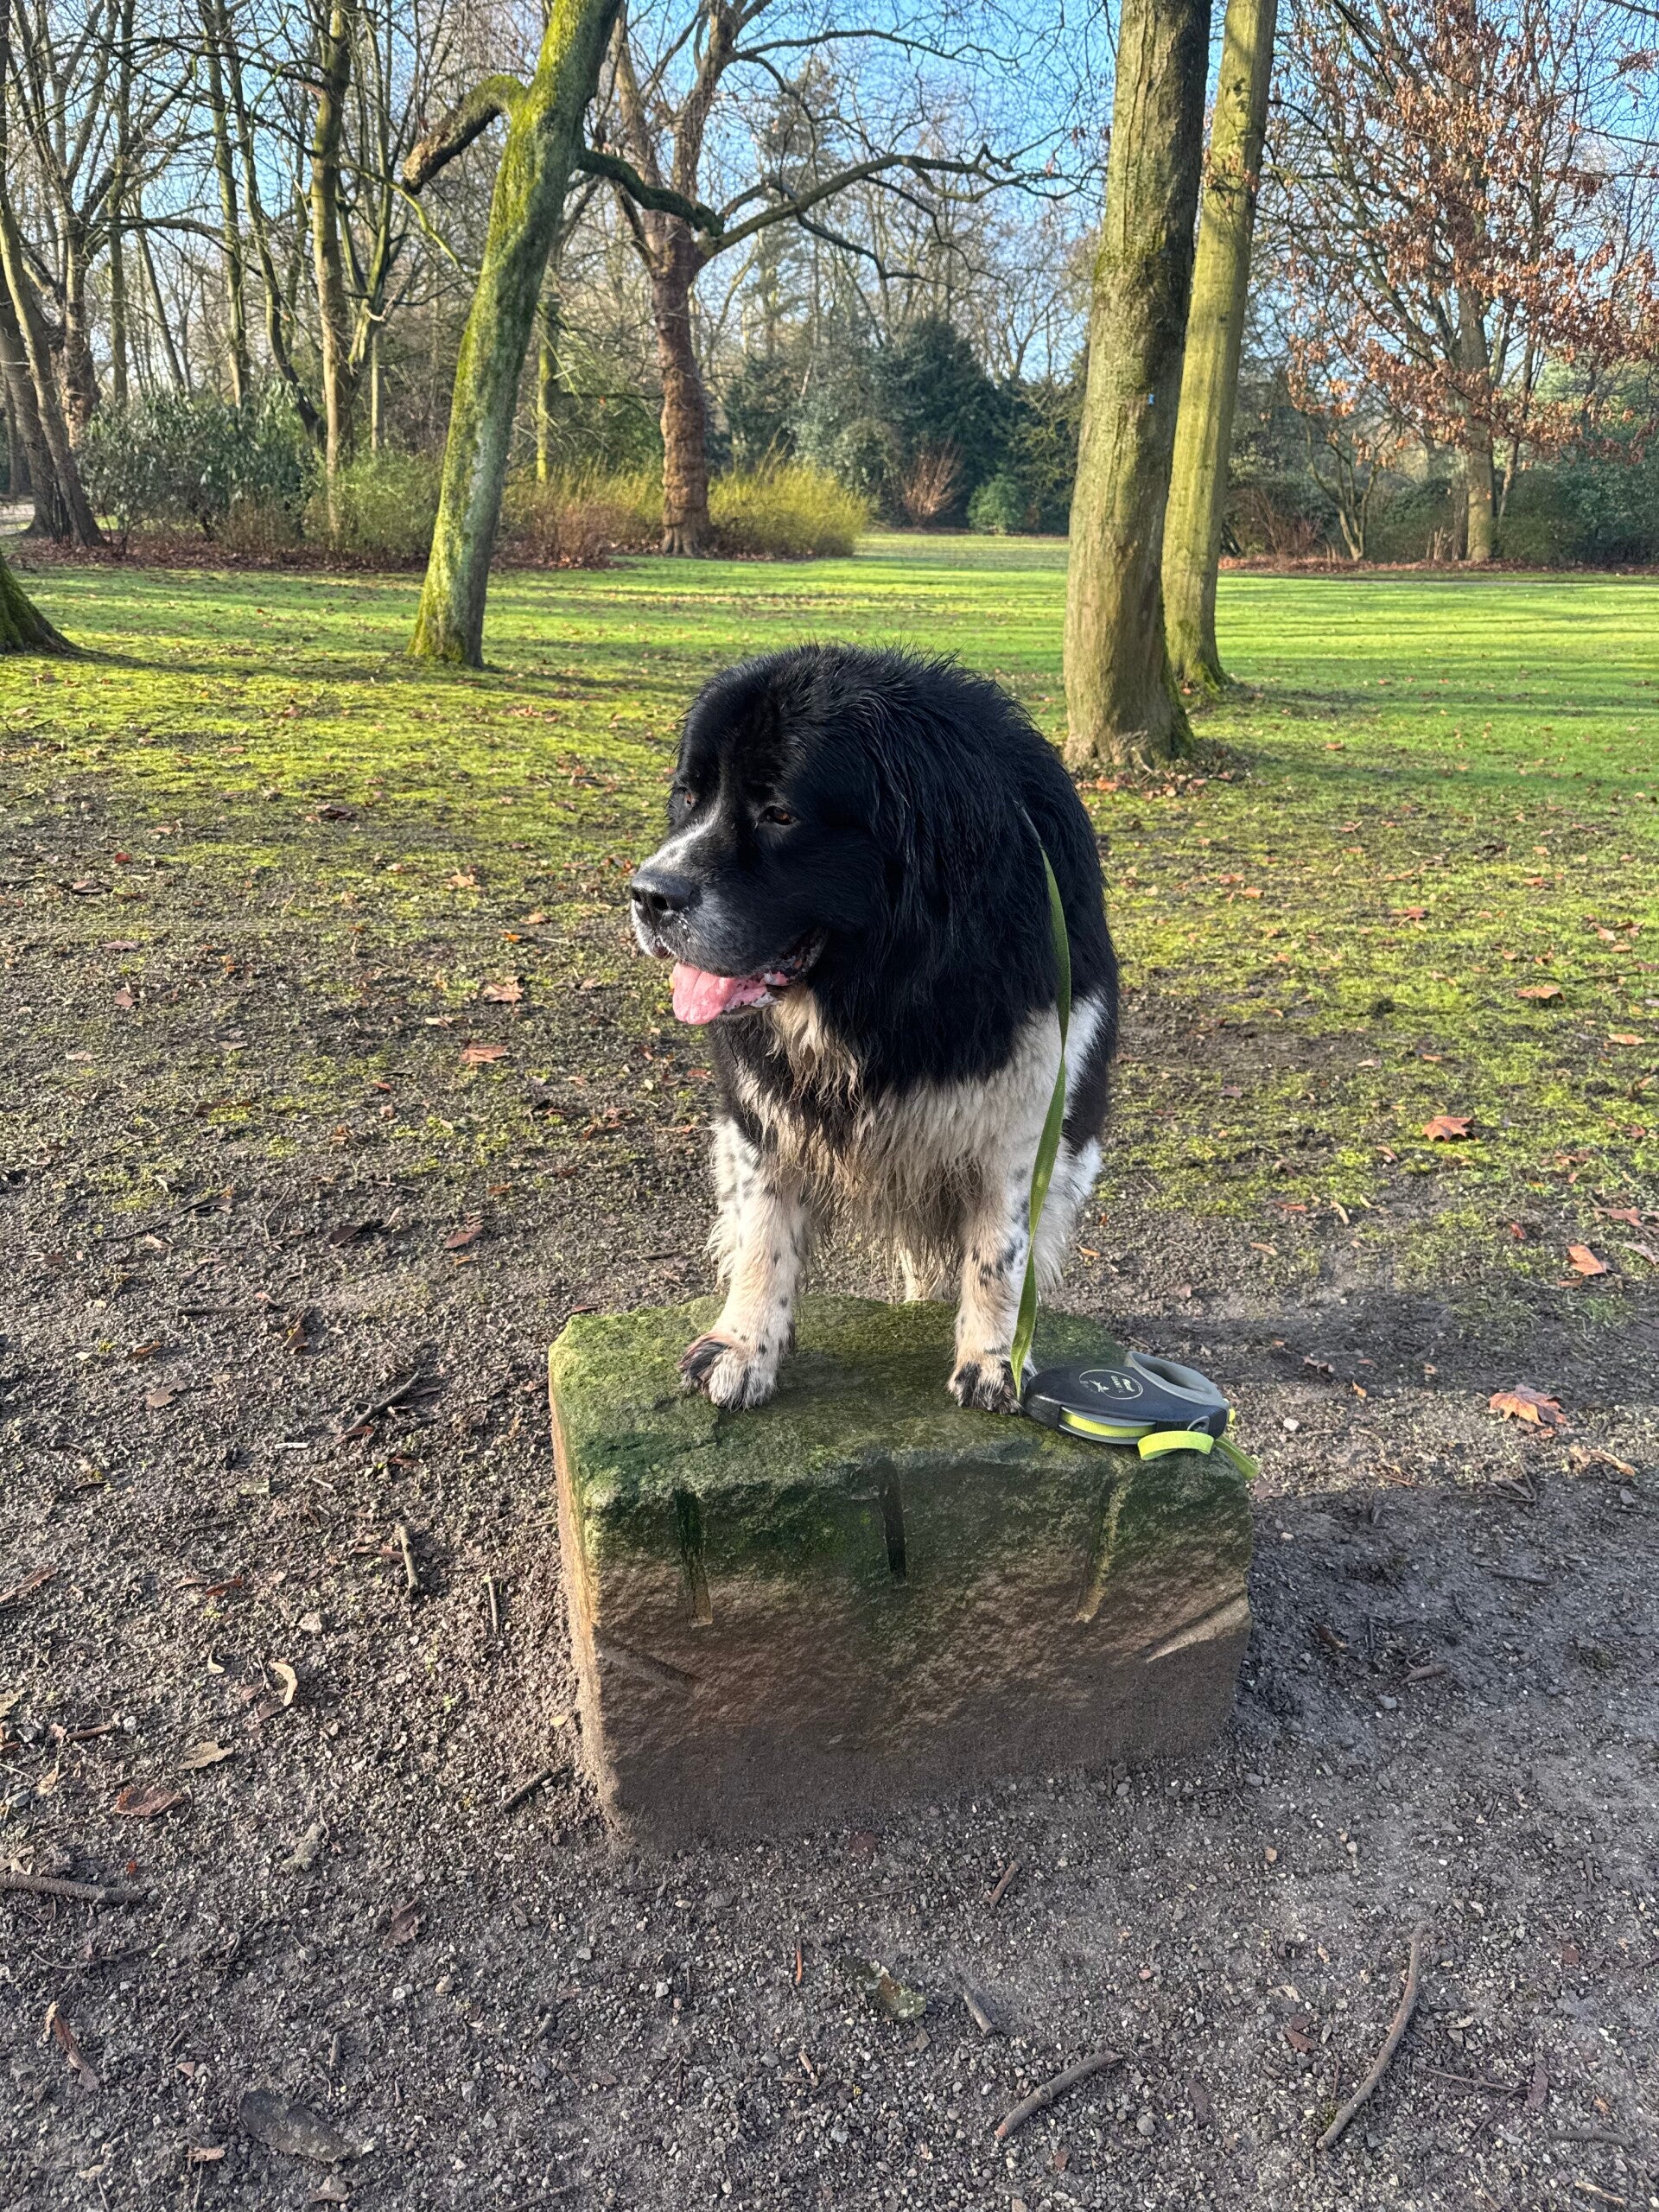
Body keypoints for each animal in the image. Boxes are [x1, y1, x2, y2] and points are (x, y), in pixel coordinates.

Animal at [628, 644, 1119, 1413]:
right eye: (688, 795)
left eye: (780, 813)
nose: (649, 895)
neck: (882, 992)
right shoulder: (759, 1110)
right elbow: (761, 1230)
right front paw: (743, 1346)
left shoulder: (1033, 1104)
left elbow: (1000, 1249)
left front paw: (992, 1359)